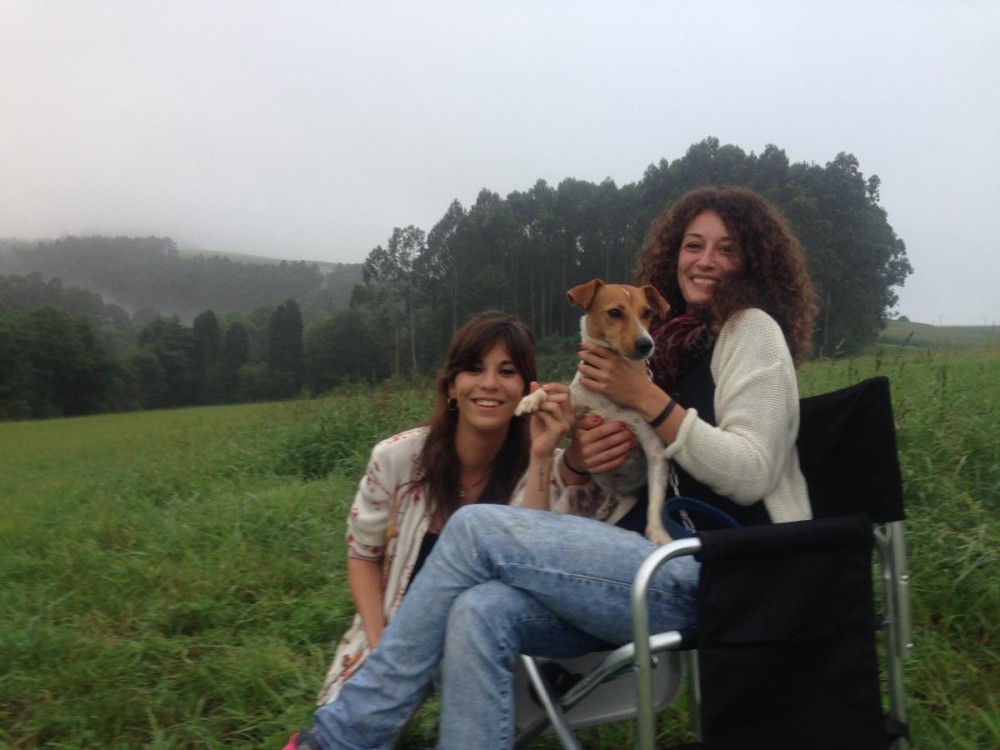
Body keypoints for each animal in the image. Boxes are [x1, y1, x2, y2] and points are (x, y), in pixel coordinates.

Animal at [517, 278, 673, 544]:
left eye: (647, 313)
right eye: (615, 312)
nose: (646, 345)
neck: (608, 395)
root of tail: (605, 499)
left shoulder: (654, 451)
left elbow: (655, 503)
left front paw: (659, 534)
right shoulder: (574, 416)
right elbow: (553, 389)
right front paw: (530, 399)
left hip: (626, 504)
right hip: (569, 497)